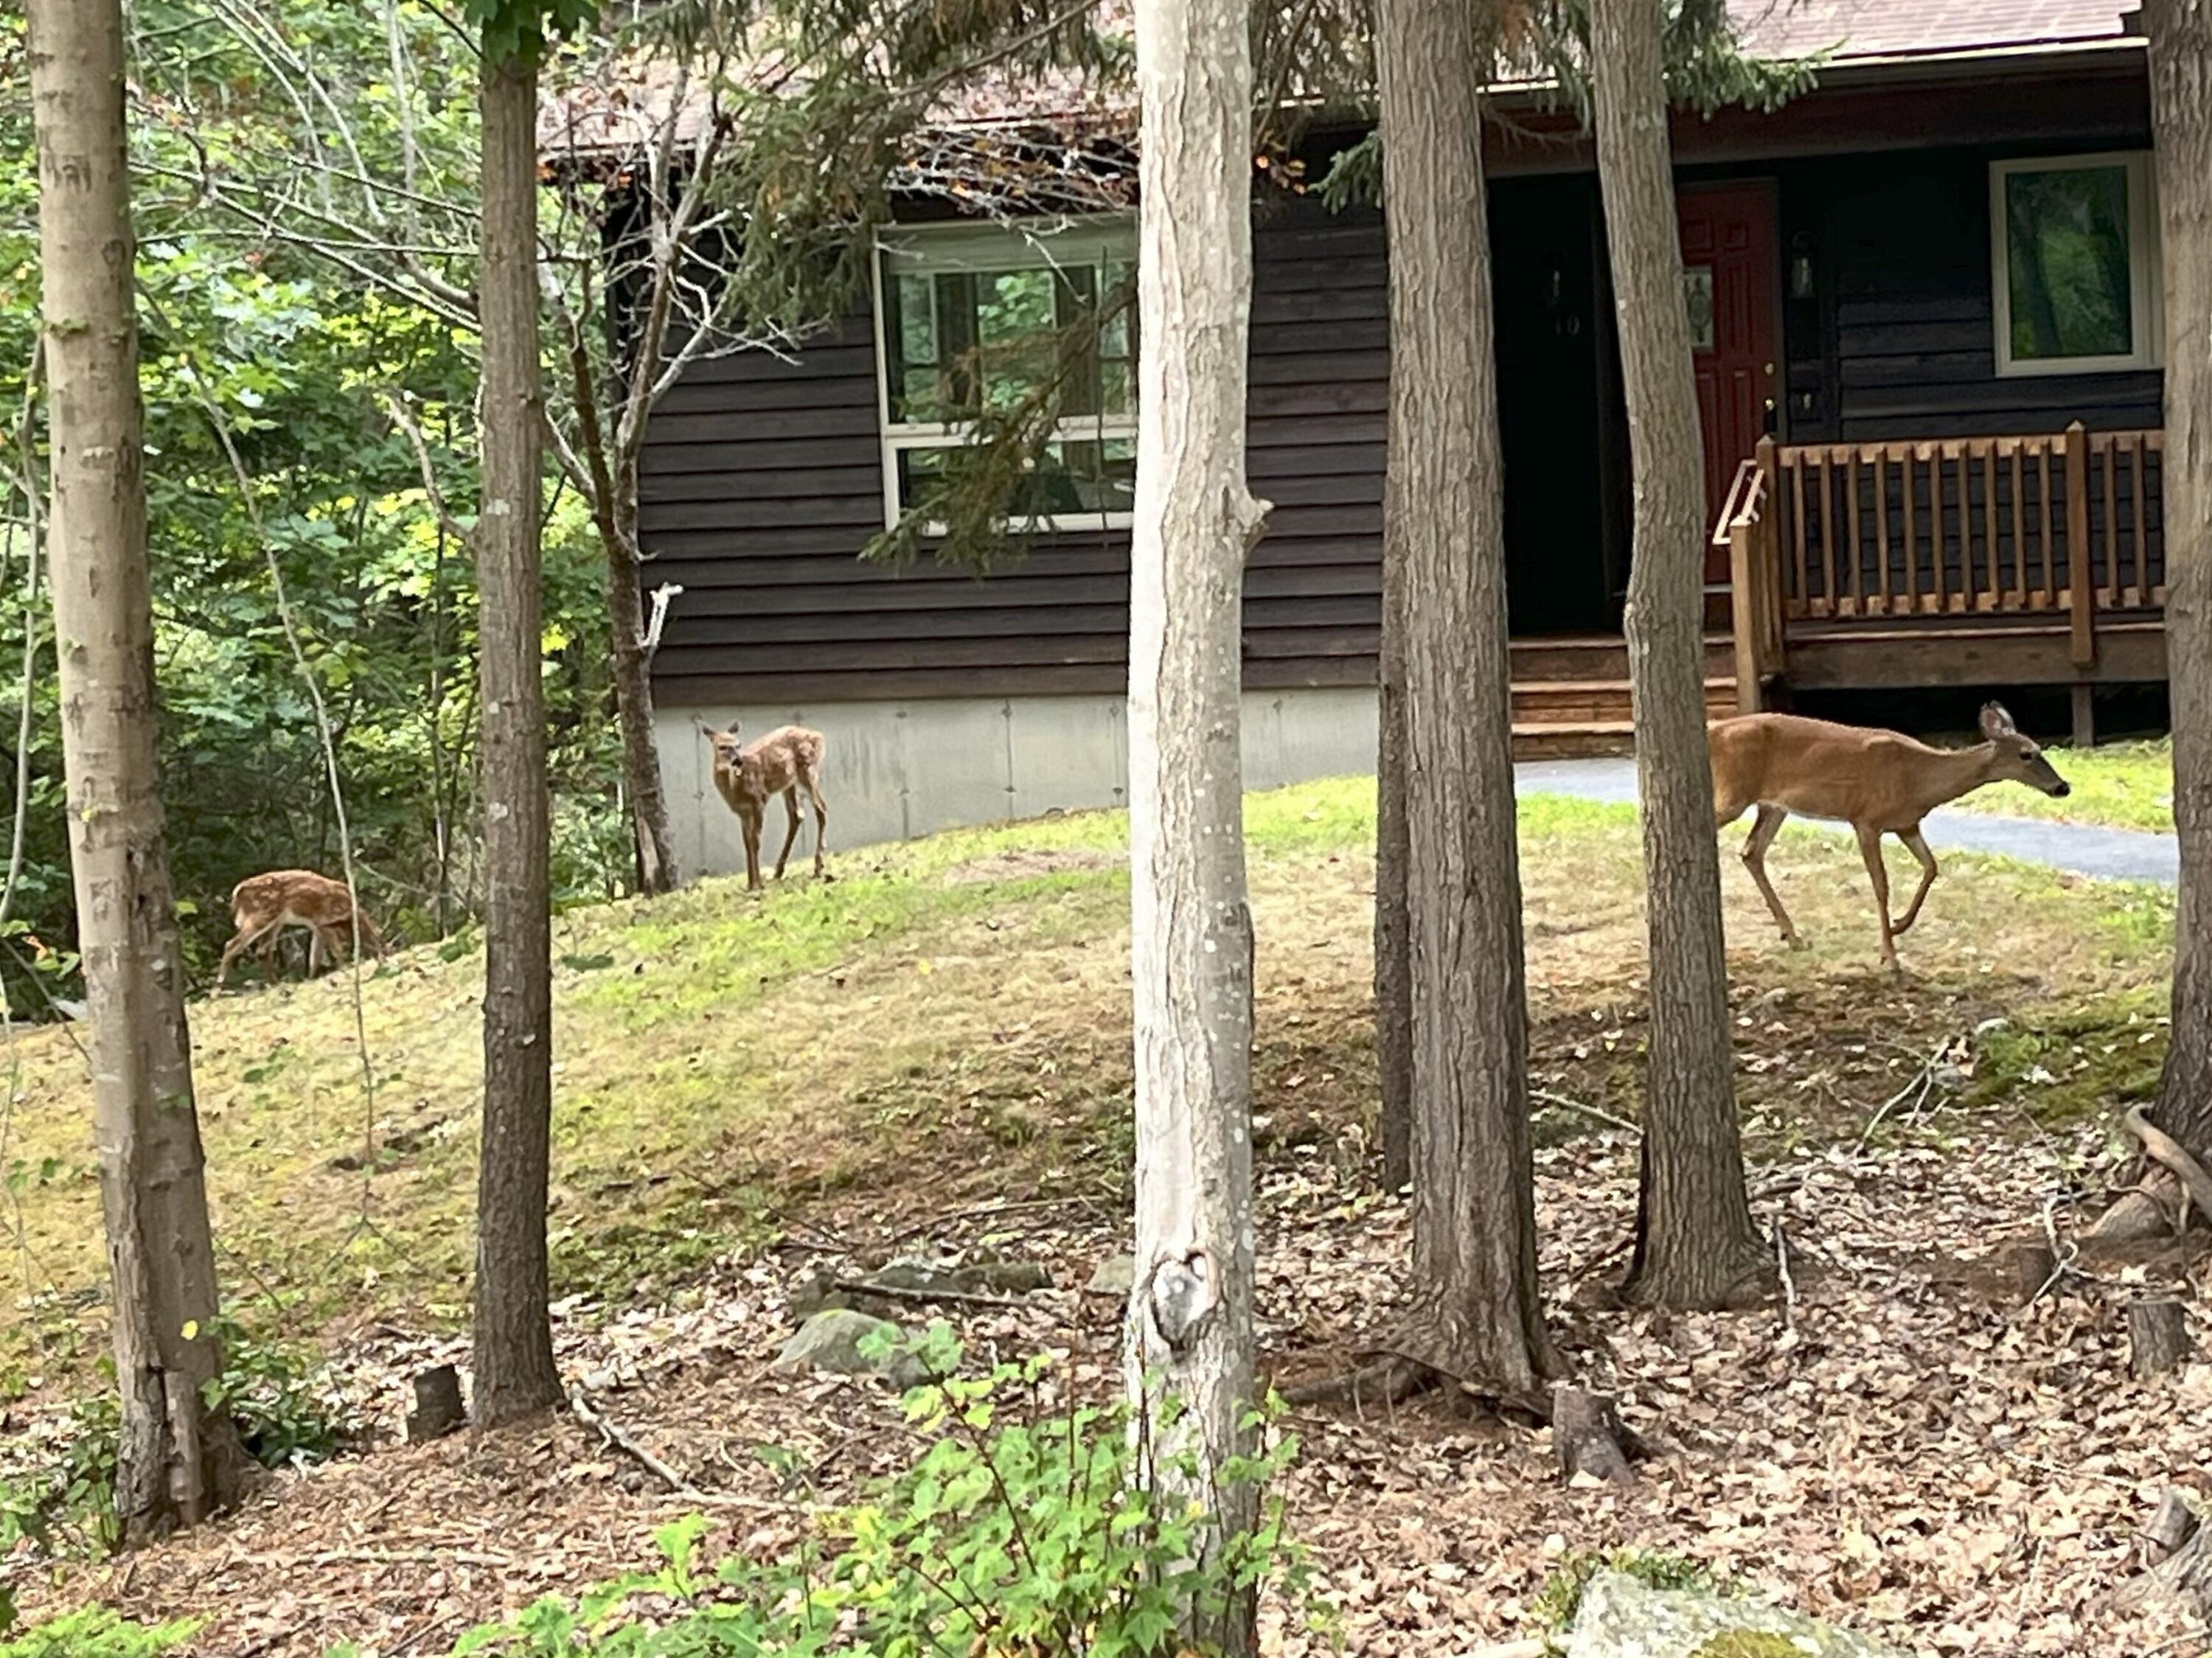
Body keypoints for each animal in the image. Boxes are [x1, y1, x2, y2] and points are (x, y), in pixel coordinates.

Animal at [216, 870, 389, 987]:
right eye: (380, 943)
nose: (383, 960)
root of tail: (237, 893)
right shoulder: (322, 920)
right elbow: (336, 949)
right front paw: (346, 970)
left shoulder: (317, 927)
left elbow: (315, 956)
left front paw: (310, 978)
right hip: (261, 915)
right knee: (231, 945)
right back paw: (218, 987)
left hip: (275, 921)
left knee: (263, 952)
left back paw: (276, 984)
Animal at [702, 723, 829, 892]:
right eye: (722, 747)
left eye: (738, 745)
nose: (738, 761)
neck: (735, 788)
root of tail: (818, 736)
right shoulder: (742, 812)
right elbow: (747, 843)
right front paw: (750, 884)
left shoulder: (759, 801)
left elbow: (755, 842)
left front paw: (758, 884)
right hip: (789, 784)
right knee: (796, 816)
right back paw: (778, 871)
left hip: (807, 771)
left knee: (821, 808)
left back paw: (817, 867)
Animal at [1709, 700, 2071, 970]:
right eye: (2026, 754)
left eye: (2040, 749)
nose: (2063, 787)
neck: (1920, 780)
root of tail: (1714, 731)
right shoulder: (1866, 820)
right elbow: (1881, 885)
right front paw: (1890, 954)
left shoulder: (1907, 824)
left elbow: (1931, 867)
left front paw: (1899, 925)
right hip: (1734, 793)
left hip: (1774, 805)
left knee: (1752, 851)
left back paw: (1794, 937)